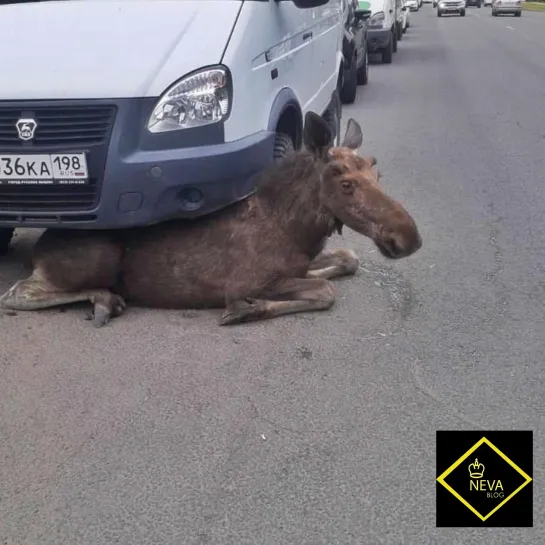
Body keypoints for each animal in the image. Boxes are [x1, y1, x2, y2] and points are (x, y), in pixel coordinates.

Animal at [0, 112, 420, 326]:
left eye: (377, 173)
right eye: (346, 183)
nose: (408, 237)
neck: (296, 232)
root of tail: (40, 246)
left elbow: (346, 261)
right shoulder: (245, 282)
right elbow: (324, 291)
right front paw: (248, 309)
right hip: (97, 259)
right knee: (18, 292)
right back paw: (105, 299)